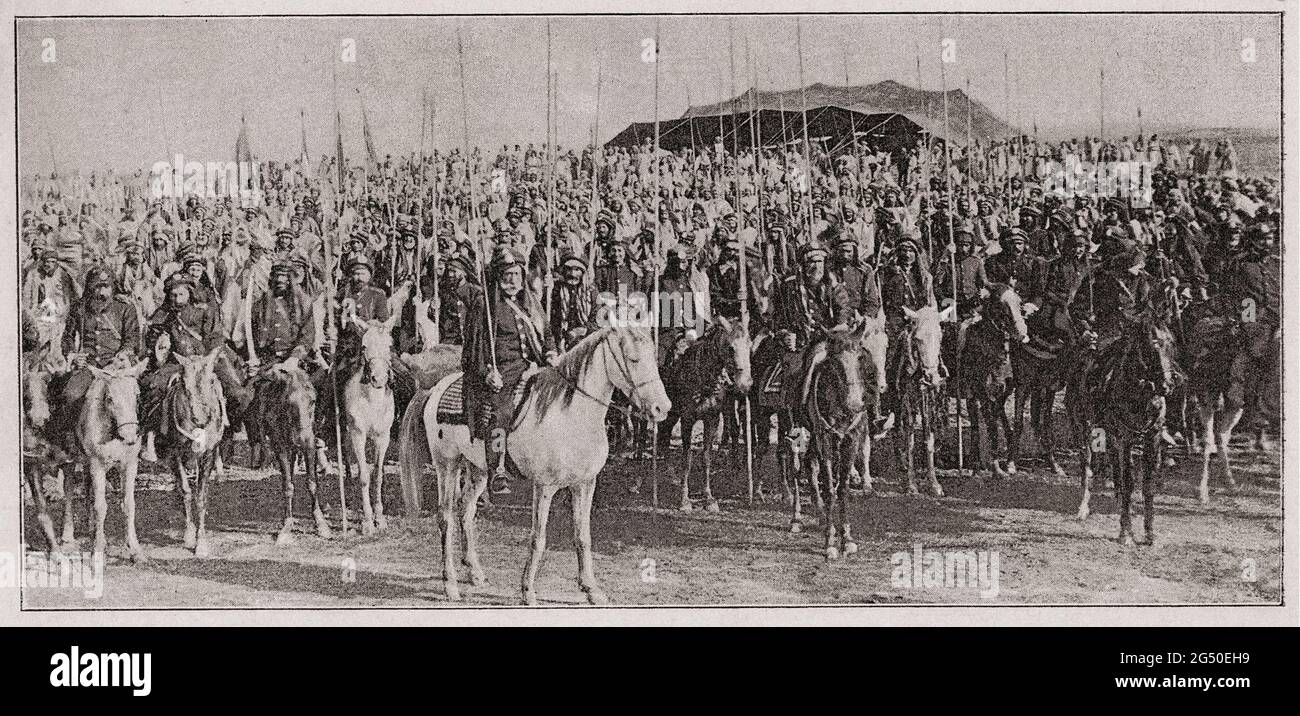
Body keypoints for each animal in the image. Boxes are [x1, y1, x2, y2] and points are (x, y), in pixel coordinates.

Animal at [400, 324, 670, 605]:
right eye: (633, 359)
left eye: (654, 357)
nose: (662, 408)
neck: (570, 415)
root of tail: (435, 389)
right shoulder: (544, 486)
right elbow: (538, 538)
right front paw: (527, 591)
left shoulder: (585, 484)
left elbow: (583, 536)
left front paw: (591, 589)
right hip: (447, 464)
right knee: (446, 517)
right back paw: (450, 584)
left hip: (478, 469)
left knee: (466, 510)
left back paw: (475, 572)